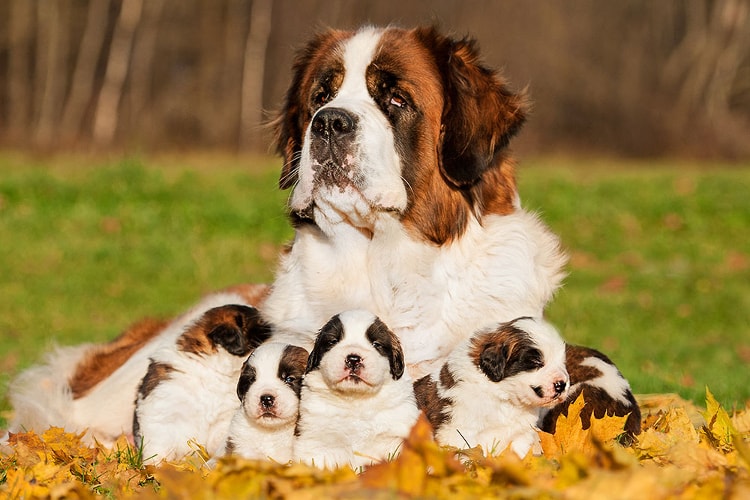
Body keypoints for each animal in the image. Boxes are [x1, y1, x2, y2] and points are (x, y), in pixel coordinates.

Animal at [134, 302, 272, 462]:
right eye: (261, 326)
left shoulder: (223, 418)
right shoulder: (161, 412)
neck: (211, 369)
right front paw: (158, 466)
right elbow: (159, 446)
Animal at [296, 310, 424, 470]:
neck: (356, 400)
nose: (353, 359)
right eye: (333, 341)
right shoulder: (318, 439)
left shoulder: (394, 435)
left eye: (376, 344)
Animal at [414, 318, 568, 458]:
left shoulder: (522, 434)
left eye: (562, 362)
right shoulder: (459, 432)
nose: (562, 384)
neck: (504, 398)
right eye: (536, 362)